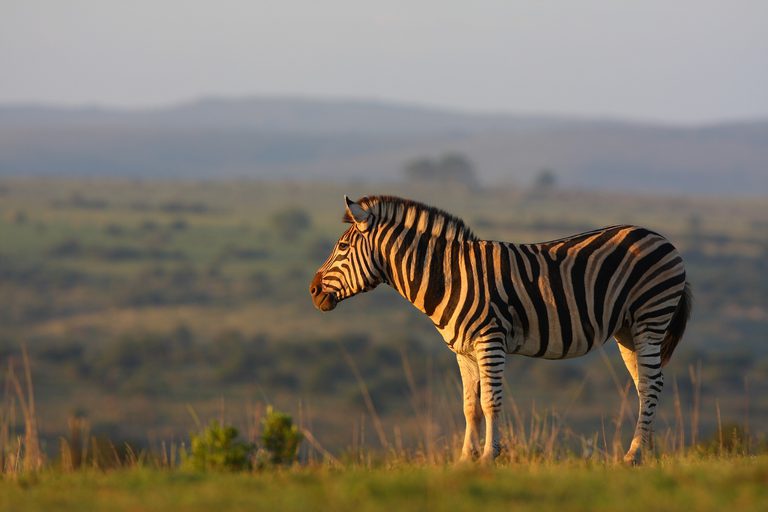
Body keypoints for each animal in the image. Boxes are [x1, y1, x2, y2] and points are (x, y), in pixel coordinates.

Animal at [310, 195, 691, 464]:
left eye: (342, 247)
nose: (312, 291)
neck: (447, 277)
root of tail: (661, 238)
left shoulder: (489, 341)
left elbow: (490, 402)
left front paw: (489, 458)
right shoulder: (463, 351)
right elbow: (470, 406)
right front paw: (464, 460)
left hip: (650, 318)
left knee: (652, 384)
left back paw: (635, 455)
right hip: (627, 330)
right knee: (644, 386)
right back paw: (645, 452)